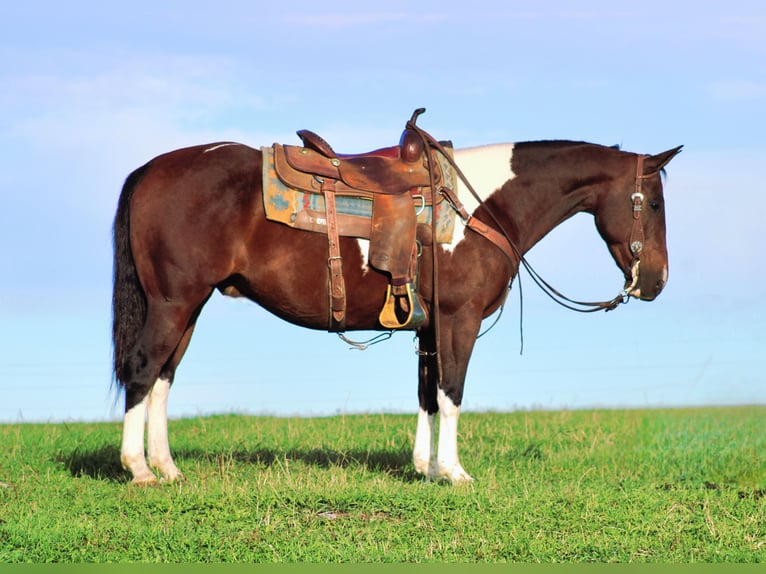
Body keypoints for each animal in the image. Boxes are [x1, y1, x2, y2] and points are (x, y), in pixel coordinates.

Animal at [112, 115, 682, 485]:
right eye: (654, 203)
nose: (655, 282)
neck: (481, 208)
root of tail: (149, 170)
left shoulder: (428, 326)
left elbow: (427, 394)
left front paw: (424, 468)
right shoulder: (457, 320)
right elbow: (451, 392)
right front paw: (454, 472)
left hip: (188, 306)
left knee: (163, 377)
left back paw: (168, 468)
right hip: (173, 302)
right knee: (143, 368)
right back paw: (139, 470)